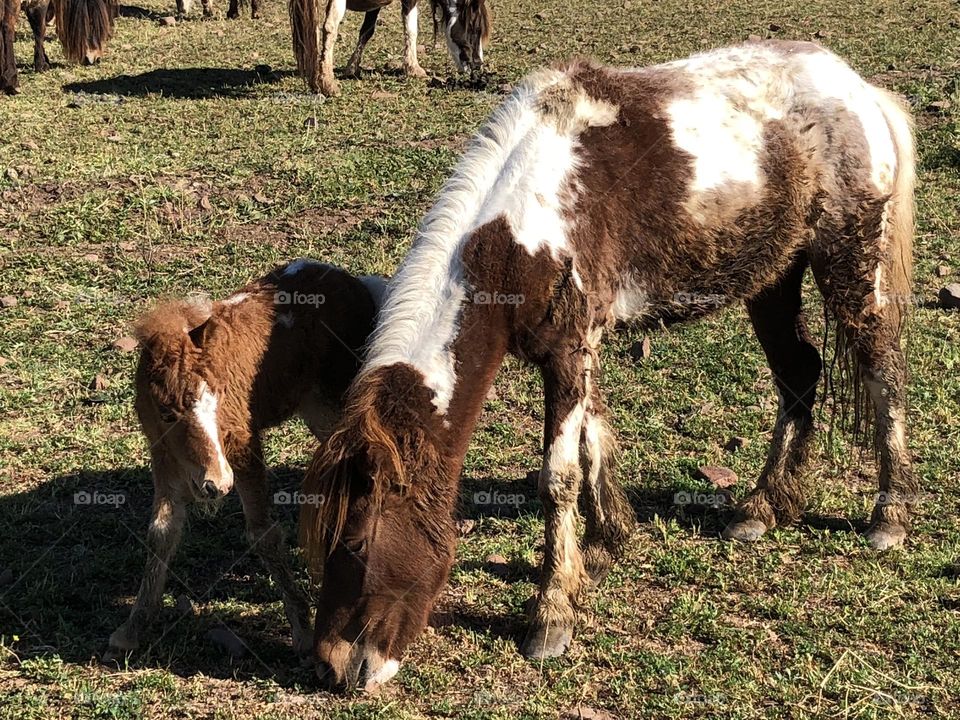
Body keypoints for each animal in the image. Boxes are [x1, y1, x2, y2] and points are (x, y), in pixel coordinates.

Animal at [288, 0, 492, 95]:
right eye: (475, 28)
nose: (477, 65)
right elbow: (411, 28)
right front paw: (413, 68)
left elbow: (367, 30)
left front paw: (352, 67)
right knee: (329, 27)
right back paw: (328, 84)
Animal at [298, 39, 916, 692]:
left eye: (356, 544)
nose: (334, 665)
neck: (523, 228)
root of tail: (860, 89)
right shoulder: (581, 347)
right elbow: (593, 440)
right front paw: (602, 544)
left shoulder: (569, 351)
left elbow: (558, 477)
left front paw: (551, 614)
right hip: (772, 277)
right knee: (798, 373)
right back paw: (762, 508)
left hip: (850, 267)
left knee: (884, 375)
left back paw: (889, 516)